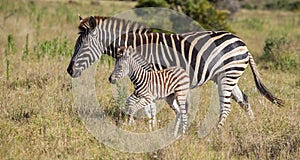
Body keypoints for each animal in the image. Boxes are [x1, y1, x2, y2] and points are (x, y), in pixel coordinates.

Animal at [67, 15, 284, 129]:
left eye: (83, 45)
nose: (69, 70)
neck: (137, 47)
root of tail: (242, 42)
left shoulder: (153, 76)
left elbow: (150, 105)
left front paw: (151, 127)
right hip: (227, 76)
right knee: (244, 99)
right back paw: (252, 127)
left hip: (228, 75)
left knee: (227, 106)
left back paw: (216, 132)